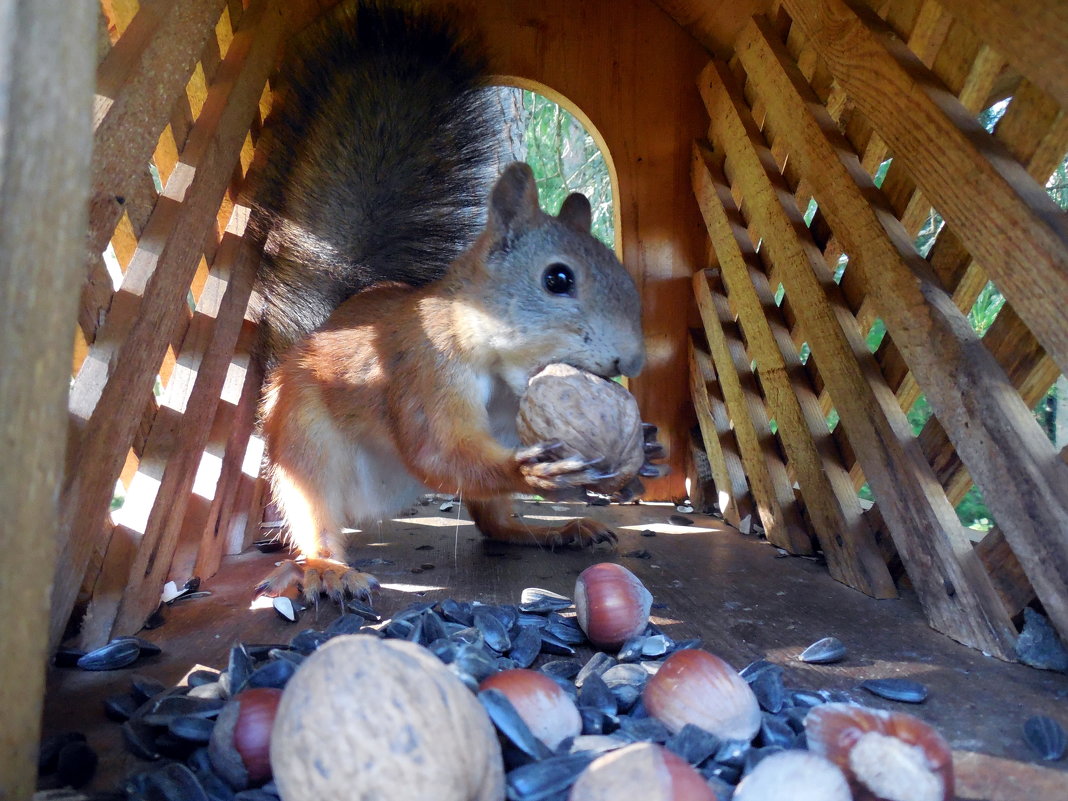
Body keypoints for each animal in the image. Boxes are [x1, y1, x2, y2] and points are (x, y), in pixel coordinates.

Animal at [244, 1, 657, 602]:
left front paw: (644, 450)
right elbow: (440, 451)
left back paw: (550, 531)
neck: (498, 366)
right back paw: (326, 567)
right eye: (558, 279)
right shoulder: (423, 370)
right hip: (304, 445)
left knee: (494, 524)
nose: (633, 361)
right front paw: (534, 474)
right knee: (315, 512)